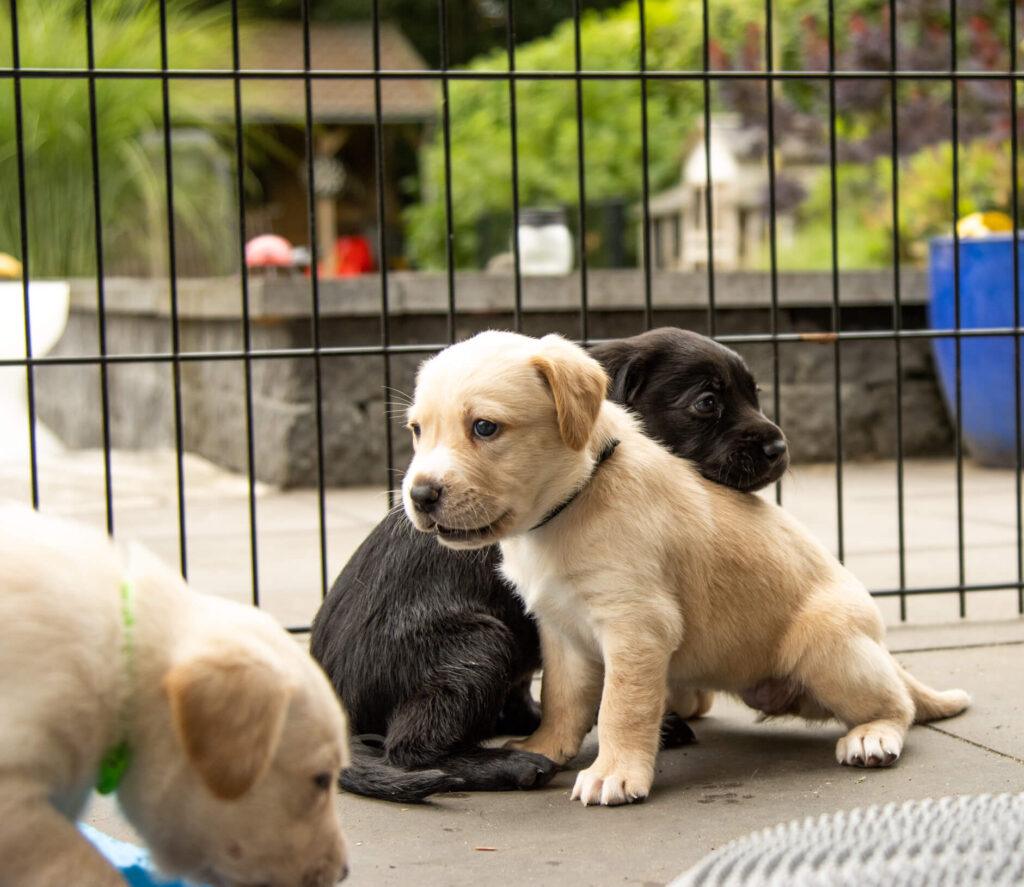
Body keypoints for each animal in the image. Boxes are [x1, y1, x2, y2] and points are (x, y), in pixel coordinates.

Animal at [307, 327, 786, 798]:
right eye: (706, 403)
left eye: (754, 394)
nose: (779, 447)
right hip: (478, 645)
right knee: (410, 748)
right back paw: (513, 765)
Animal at [399, 327, 966, 807]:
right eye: (416, 430)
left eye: (485, 428)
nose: (420, 495)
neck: (577, 497)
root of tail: (879, 647)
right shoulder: (562, 633)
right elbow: (563, 698)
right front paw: (541, 747)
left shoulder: (636, 627)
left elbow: (620, 707)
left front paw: (614, 773)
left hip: (829, 649)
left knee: (899, 705)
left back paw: (873, 736)